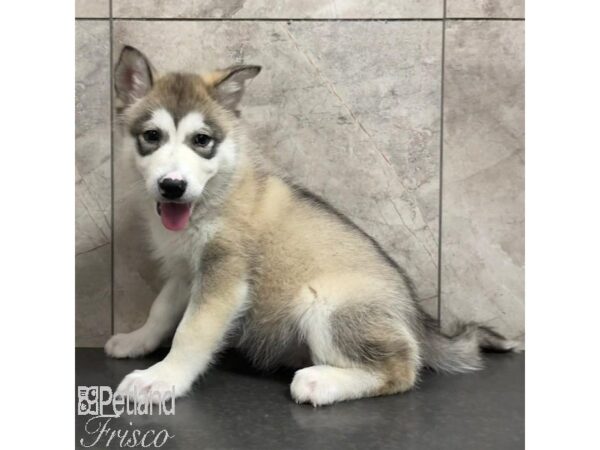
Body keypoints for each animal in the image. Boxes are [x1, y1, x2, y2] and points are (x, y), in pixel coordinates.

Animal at [105, 46, 516, 408]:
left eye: (202, 140)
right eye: (151, 136)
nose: (172, 186)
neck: (211, 198)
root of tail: (418, 319)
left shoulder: (224, 274)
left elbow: (190, 331)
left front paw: (162, 378)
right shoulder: (185, 272)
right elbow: (161, 311)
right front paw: (136, 341)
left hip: (325, 301)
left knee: (402, 367)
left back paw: (320, 381)